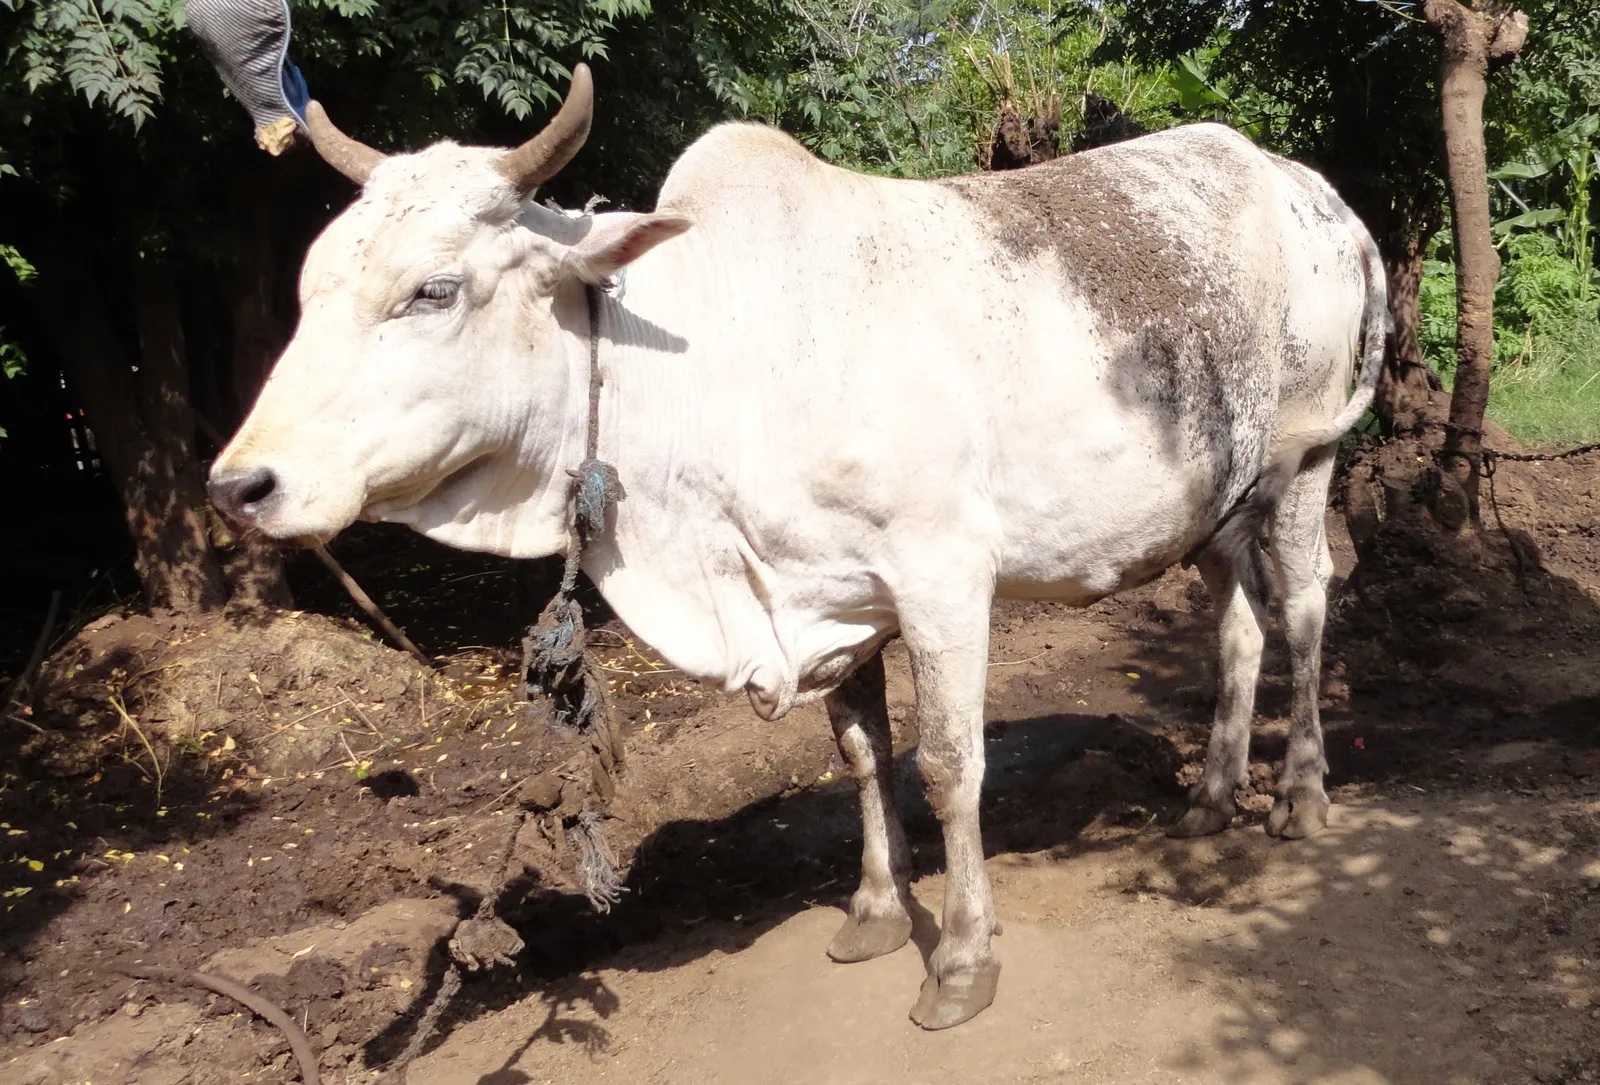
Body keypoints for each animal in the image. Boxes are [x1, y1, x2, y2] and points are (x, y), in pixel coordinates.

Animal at [208, 65, 1385, 1029]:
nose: (240, 484)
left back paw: (1300, 796)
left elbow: (949, 765)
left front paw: (961, 957)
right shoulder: (829, 593)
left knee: (1304, 610)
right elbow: (862, 753)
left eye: (432, 289)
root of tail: (1307, 187)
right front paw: (874, 907)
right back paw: (1209, 800)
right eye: (310, 289)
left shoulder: (942, 577)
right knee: (1236, 626)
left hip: (1305, 461)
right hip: (1214, 505)